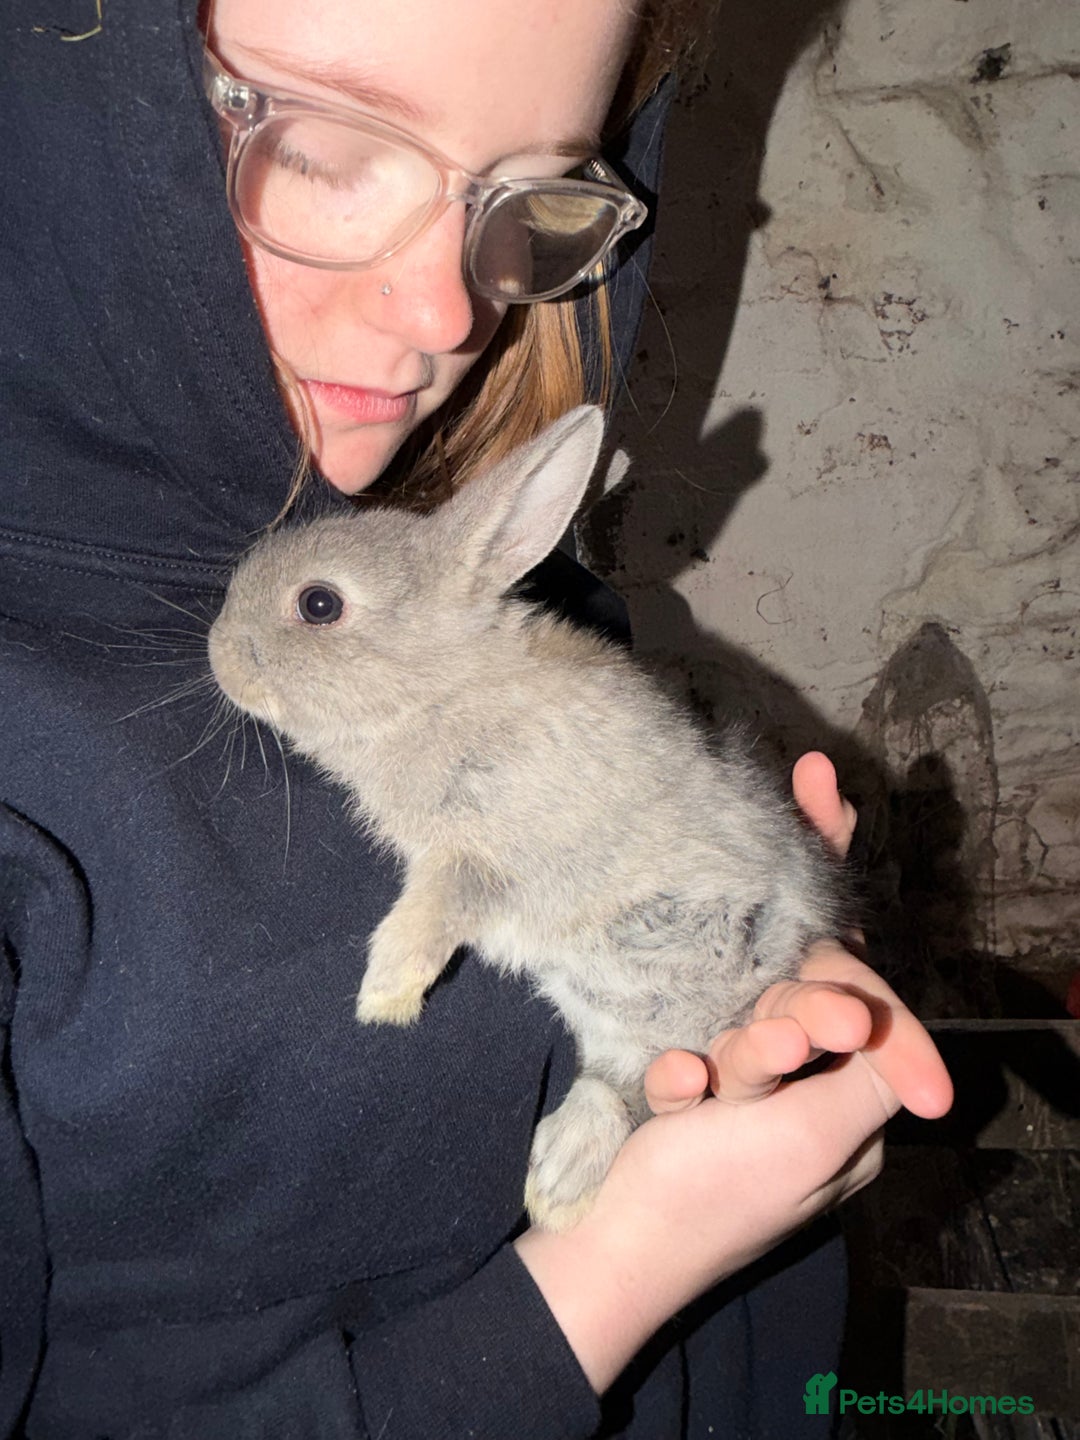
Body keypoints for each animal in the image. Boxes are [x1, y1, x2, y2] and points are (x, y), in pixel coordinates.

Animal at [208, 406, 846, 1233]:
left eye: (319, 604)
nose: (219, 655)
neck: (438, 687)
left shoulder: (490, 852)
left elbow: (437, 909)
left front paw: (383, 997)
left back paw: (562, 1176)